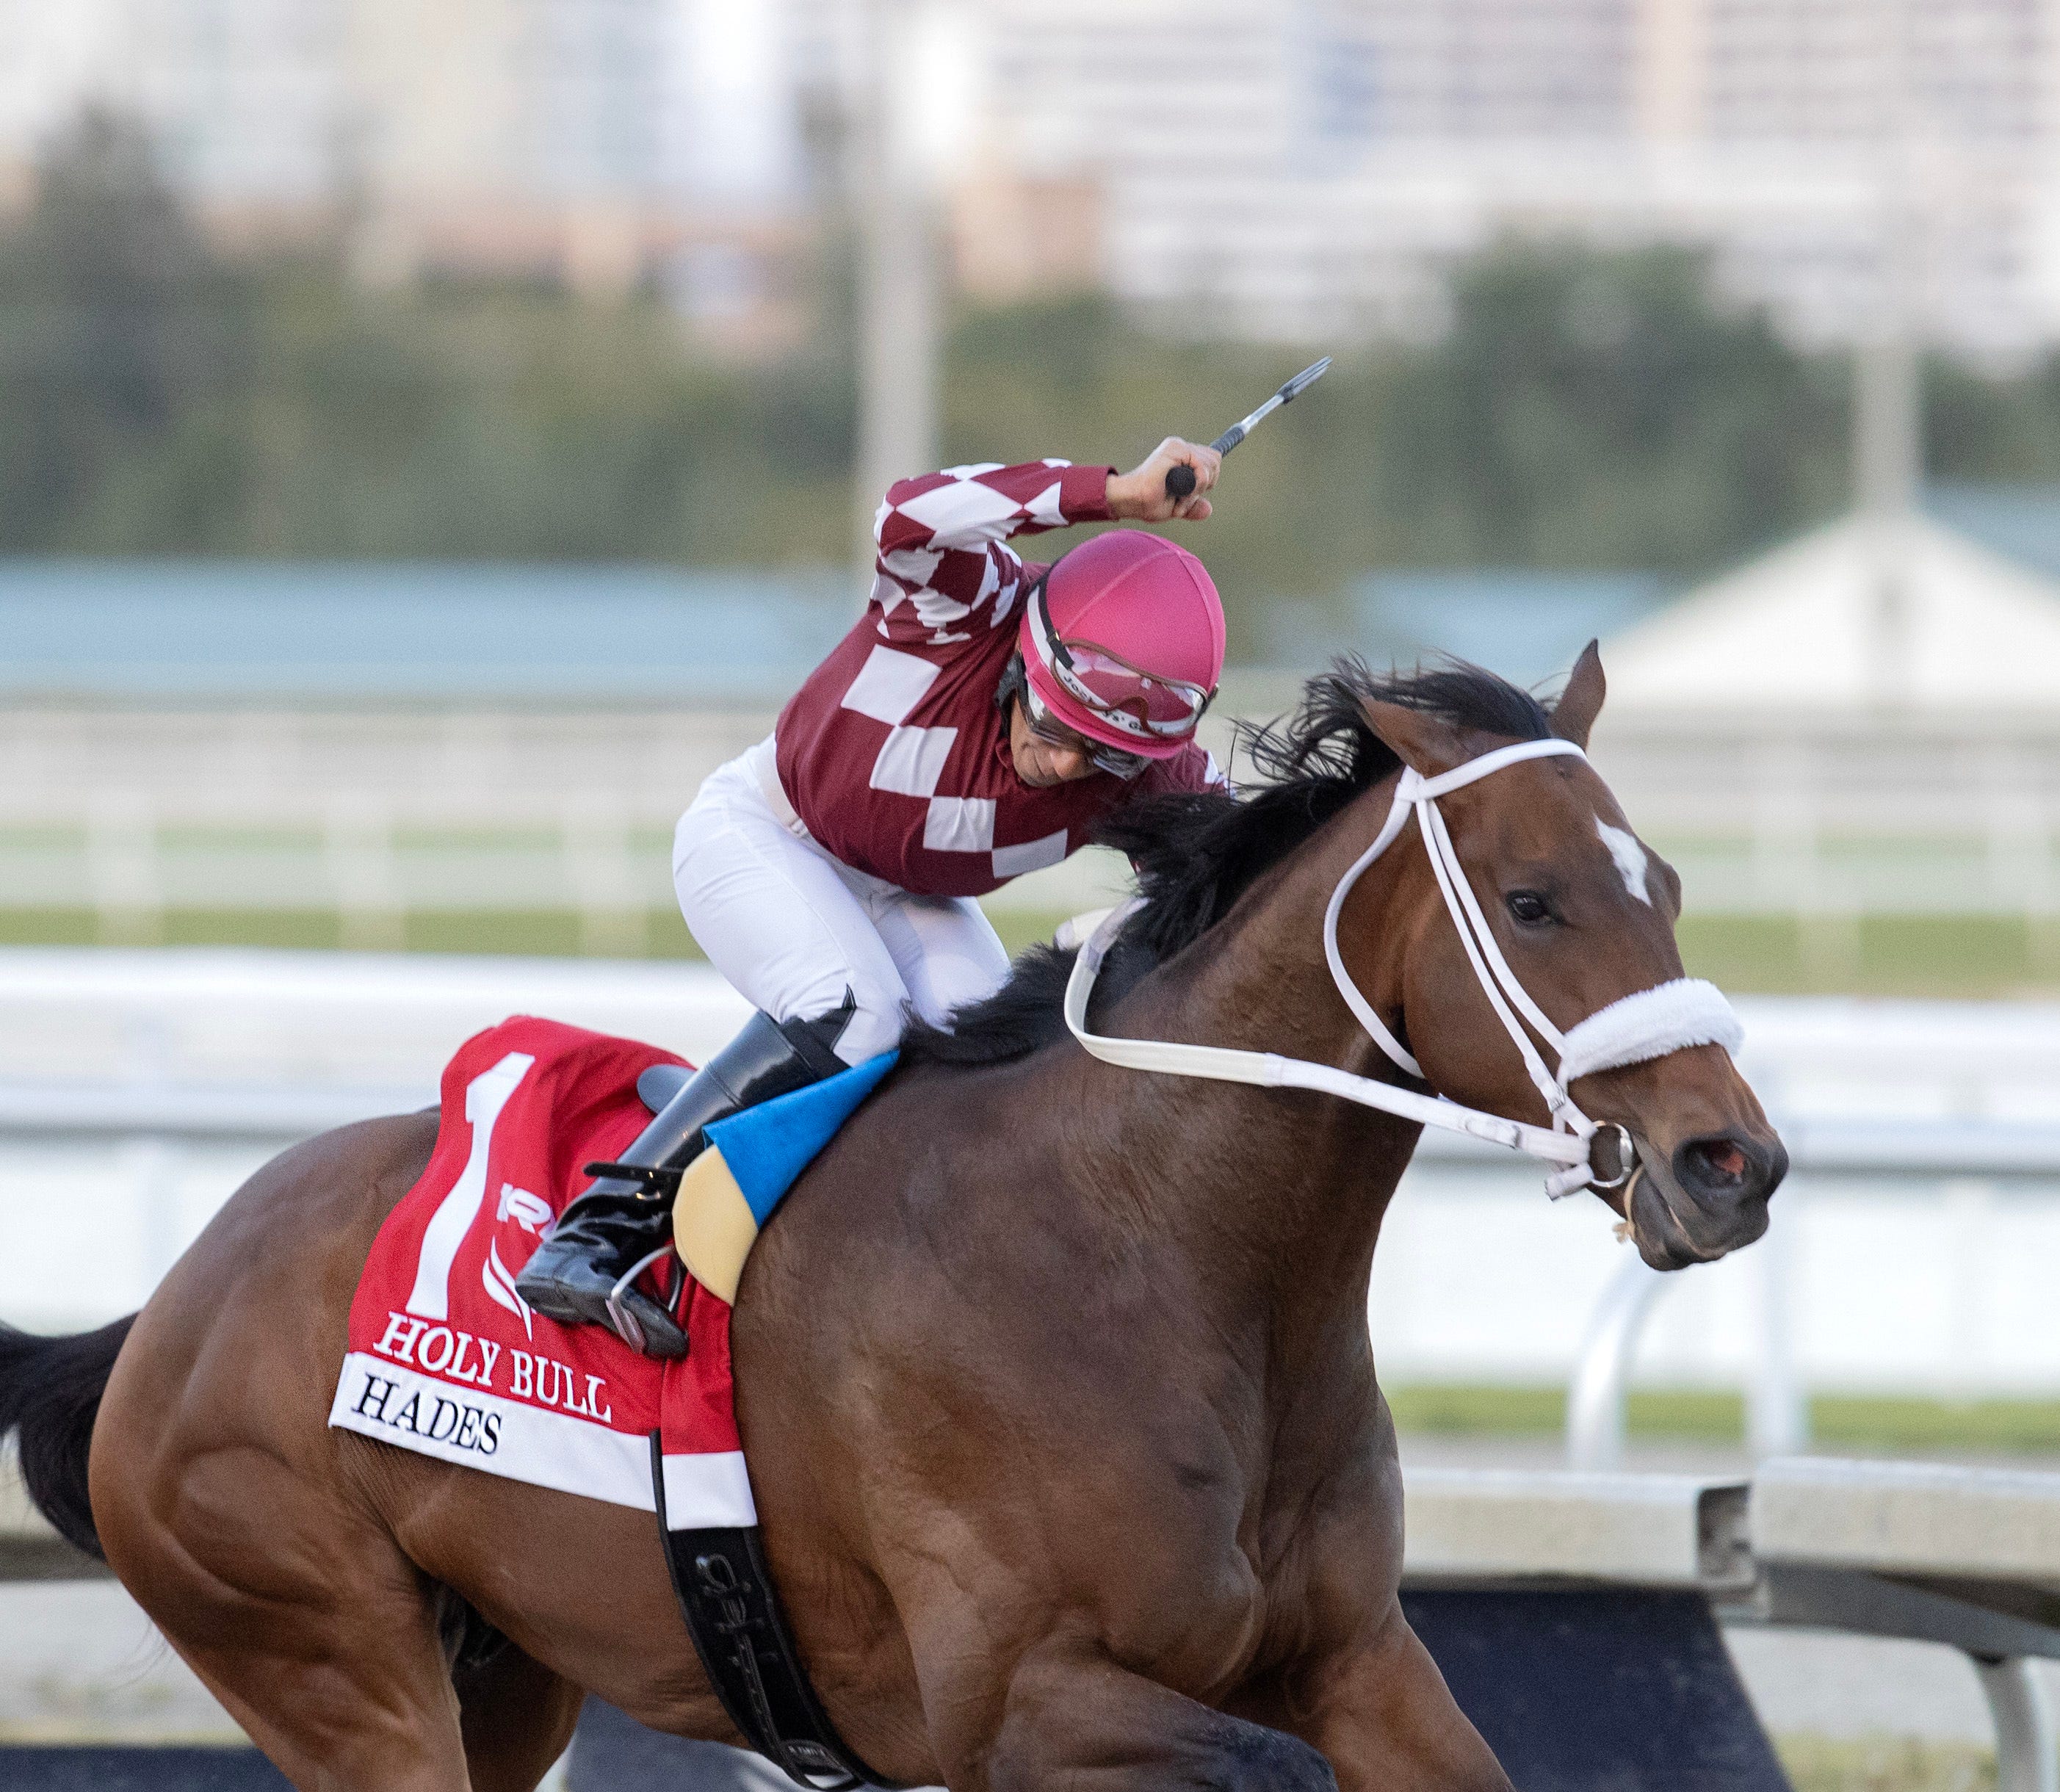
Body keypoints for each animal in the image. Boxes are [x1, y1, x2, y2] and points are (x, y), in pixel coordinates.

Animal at [0, 651, 1788, 1792]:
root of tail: (168, 1302)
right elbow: (1258, 1767)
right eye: (1533, 901)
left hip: (503, 1675)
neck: (1161, 1252)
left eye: (1666, 882)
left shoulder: (1357, 1660)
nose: (1730, 1164)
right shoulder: (1013, 1699)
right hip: (327, 1655)